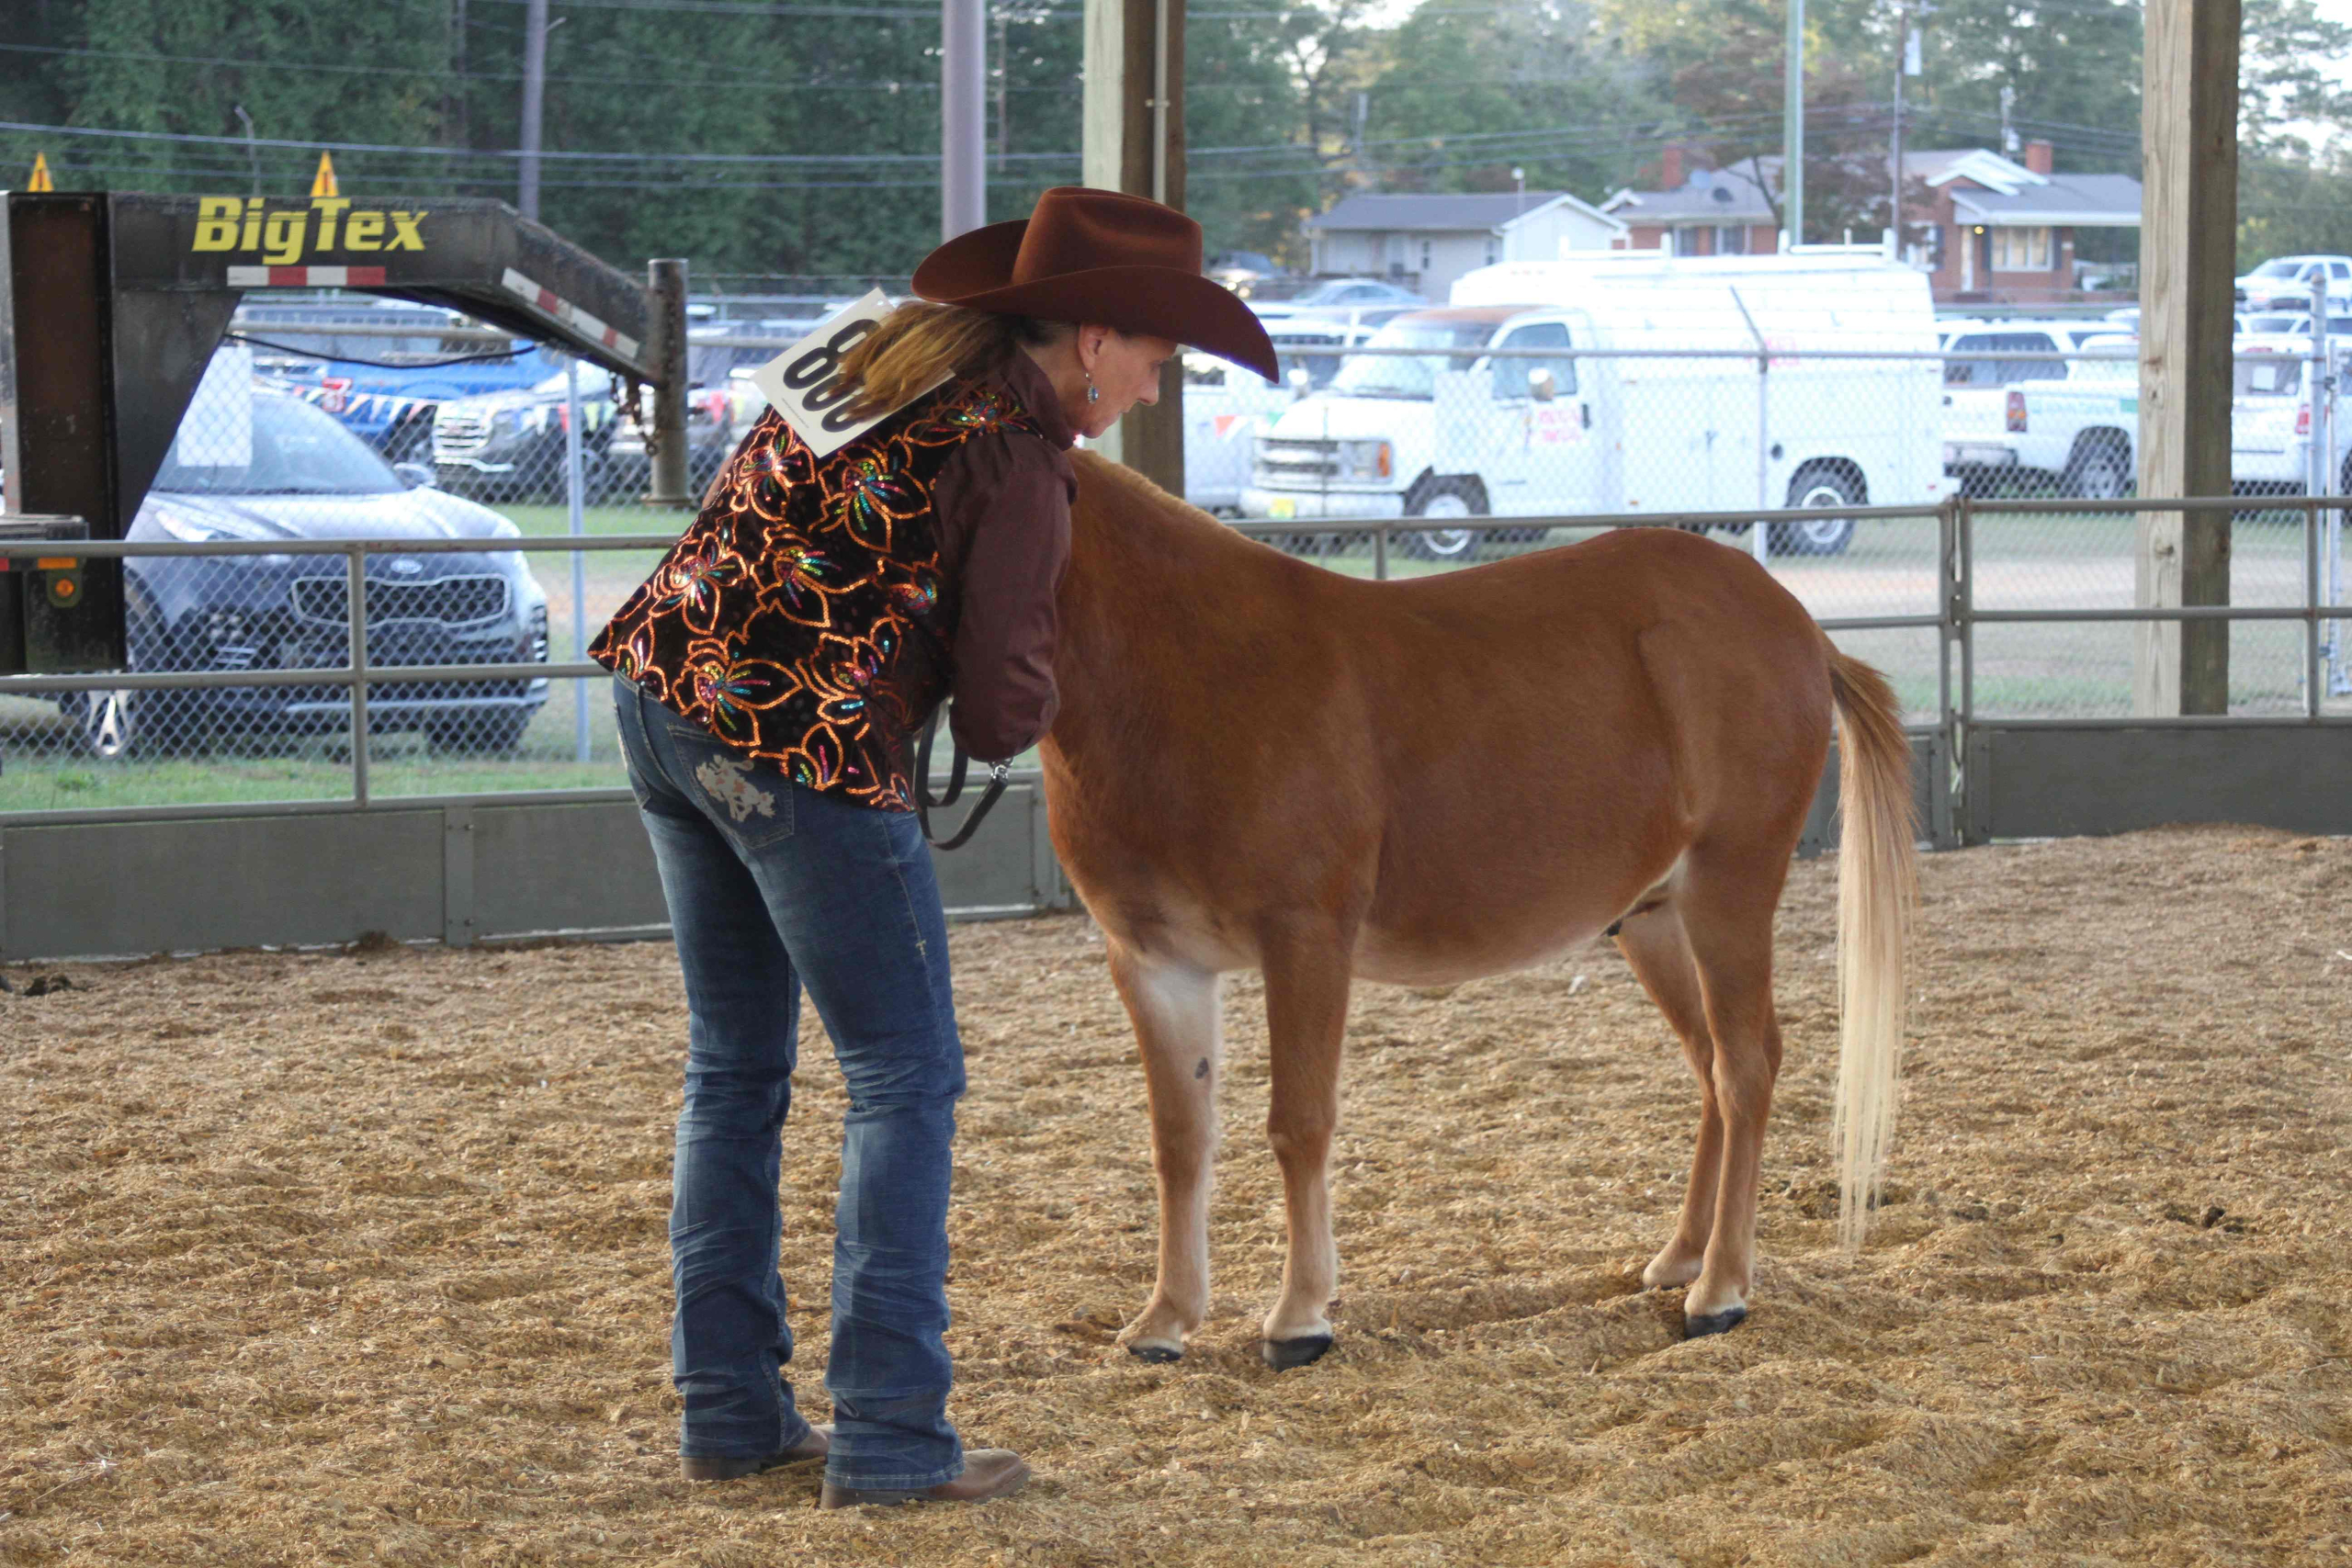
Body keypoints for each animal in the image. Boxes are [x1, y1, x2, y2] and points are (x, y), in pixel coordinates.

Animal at [1039, 451, 1918, 1363]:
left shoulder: (1306, 938)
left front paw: (1300, 1315)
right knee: (1711, 1064)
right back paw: (1682, 1255)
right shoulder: (1156, 963)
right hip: (1655, 919)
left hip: (1729, 891)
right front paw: (1165, 1318)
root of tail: (1798, 623)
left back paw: (1719, 1291)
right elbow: (1180, 1139)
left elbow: (1299, 1121)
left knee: (1746, 1067)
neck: (1200, 669)